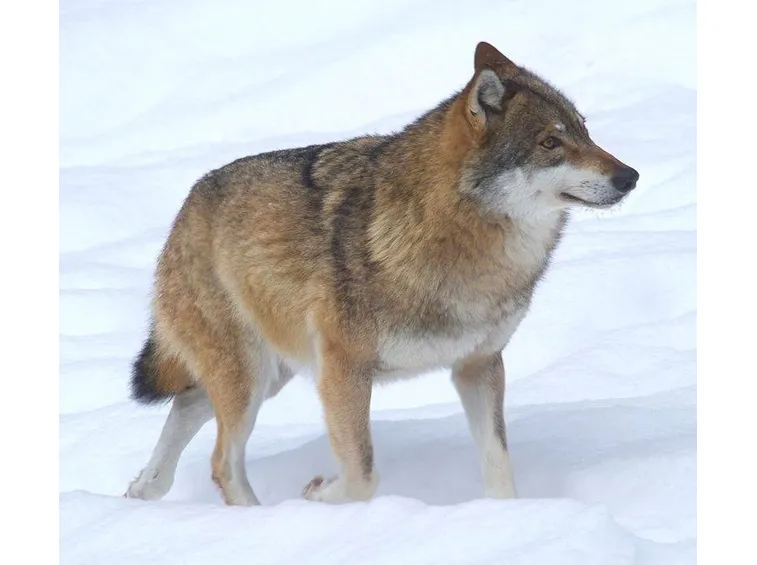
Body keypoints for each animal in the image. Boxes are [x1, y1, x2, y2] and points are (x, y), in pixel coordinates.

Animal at [124, 42, 639, 506]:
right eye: (550, 143)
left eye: (585, 131)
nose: (630, 176)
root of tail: (188, 203)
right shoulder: (343, 372)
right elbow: (362, 474)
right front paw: (319, 494)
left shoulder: (479, 366)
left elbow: (499, 465)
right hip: (252, 377)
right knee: (222, 462)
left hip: (270, 374)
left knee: (185, 408)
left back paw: (142, 489)